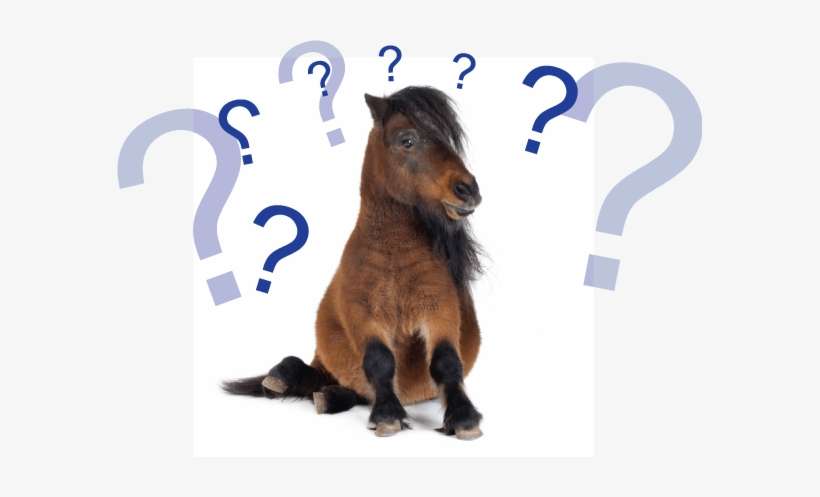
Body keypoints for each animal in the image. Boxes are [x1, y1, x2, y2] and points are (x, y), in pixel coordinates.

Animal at [223, 86, 484, 440]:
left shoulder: (440, 311)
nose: (468, 190)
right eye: (407, 139)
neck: (394, 256)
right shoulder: (361, 314)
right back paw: (281, 378)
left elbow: (446, 362)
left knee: (342, 389)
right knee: (313, 370)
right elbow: (379, 361)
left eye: (449, 139)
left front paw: (463, 417)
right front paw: (388, 415)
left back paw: (328, 397)